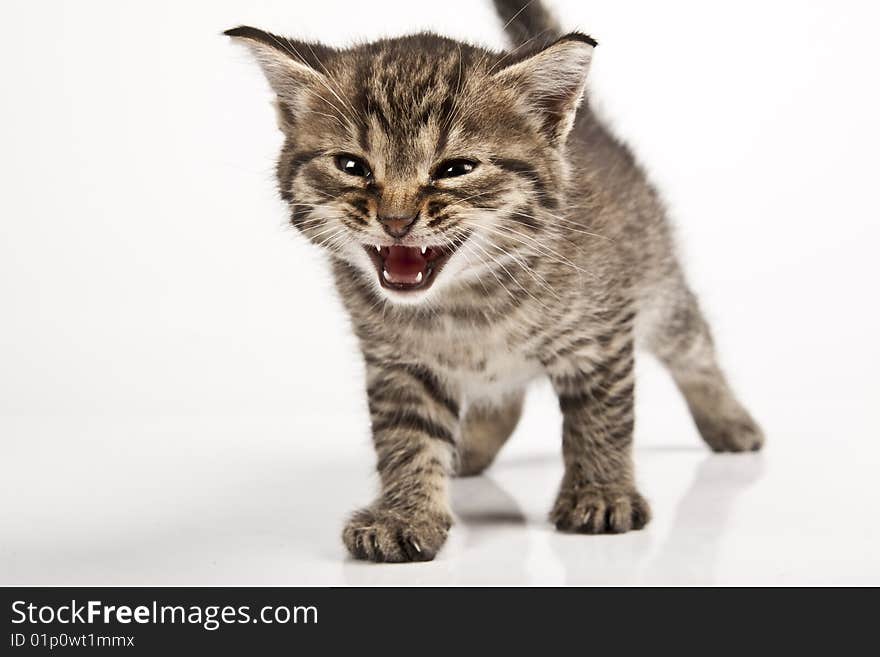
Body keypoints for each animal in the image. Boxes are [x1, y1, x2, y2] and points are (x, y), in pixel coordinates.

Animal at [225, 1, 764, 564]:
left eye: (454, 169)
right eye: (351, 165)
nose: (395, 221)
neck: (466, 303)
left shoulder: (601, 332)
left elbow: (601, 417)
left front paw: (600, 492)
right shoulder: (396, 360)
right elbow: (407, 436)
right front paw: (406, 513)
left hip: (658, 285)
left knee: (695, 345)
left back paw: (730, 422)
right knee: (504, 399)